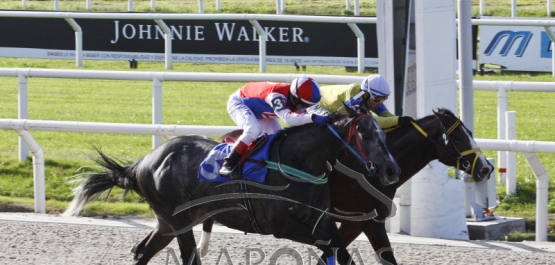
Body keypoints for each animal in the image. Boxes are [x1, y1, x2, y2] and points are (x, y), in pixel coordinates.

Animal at [63, 105, 402, 264]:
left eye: (383, 134)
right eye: (367, 135)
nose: (392, 169)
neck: (299, 164)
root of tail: (143, 162)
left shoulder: (321, 219)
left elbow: (341, 250)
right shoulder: (280, 225)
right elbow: (332, 247)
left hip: (168, 221)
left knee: (142, 251)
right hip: (178, 219)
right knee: (187, 257)